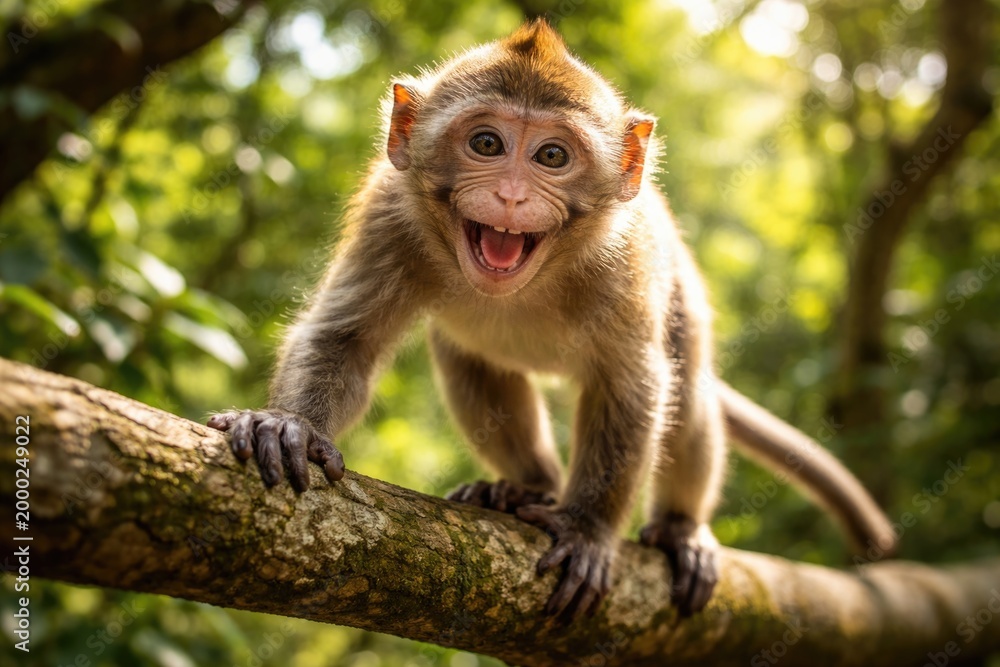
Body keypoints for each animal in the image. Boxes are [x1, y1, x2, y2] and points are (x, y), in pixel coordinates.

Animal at [207, 19, 897, 620]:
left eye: (552, 155)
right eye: (486, 144)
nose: (511, 196)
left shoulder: (625, 262)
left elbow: (633, 385)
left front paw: (588, 530)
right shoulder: (390, 214)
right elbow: (345, 336)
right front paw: (292, 427)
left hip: (686, 305)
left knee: (688, 391)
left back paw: (679, 528)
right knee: (469, 361)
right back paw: (525, 486)